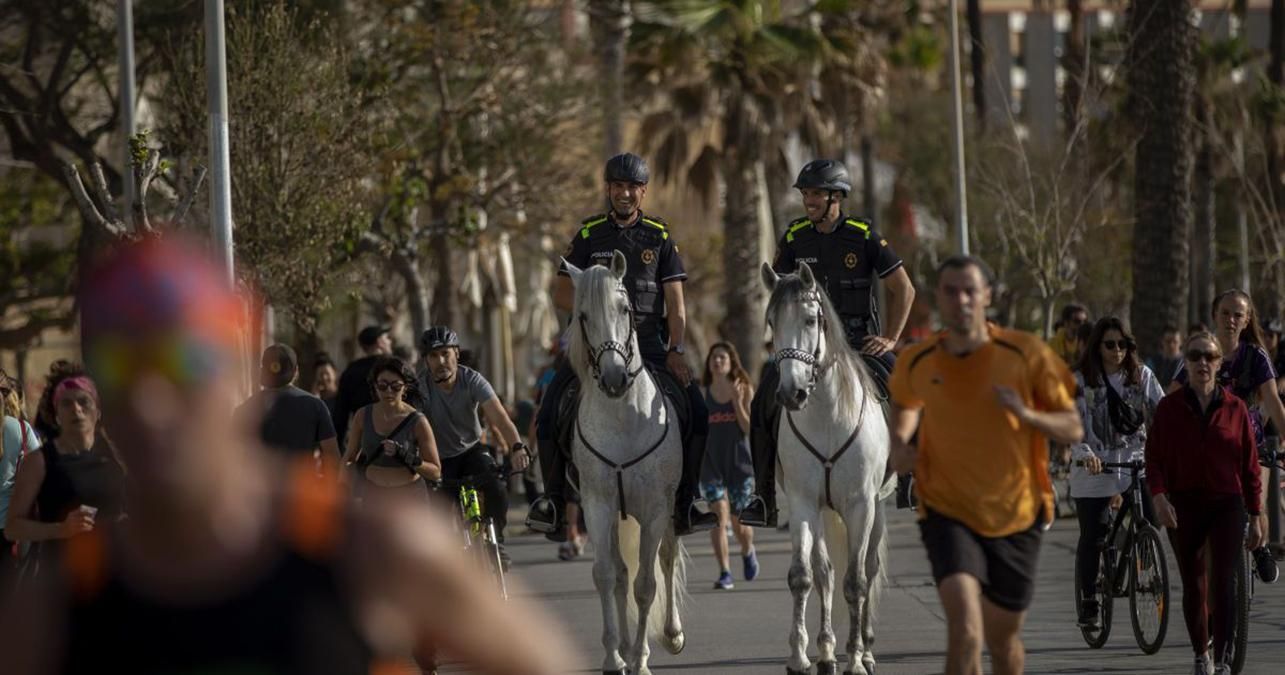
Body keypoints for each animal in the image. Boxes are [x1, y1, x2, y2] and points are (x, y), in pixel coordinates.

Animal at [565, 250, 688, 673]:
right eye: (582, 316)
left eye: (624, 309)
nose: (615, 378)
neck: (622, 418)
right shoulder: (598, 506)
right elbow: (606, 576)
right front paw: (614, 656)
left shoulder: (654, 510)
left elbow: (646, 585)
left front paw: (639, 660)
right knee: (620, 574)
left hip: (669, 510)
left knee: (665, 560)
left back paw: (670, 636)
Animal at [760, 259, 894, 673]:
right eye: (771, 321)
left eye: (809, 320)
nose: (791, 393)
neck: (827, 415)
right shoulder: (804, 502)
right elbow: (804, 577)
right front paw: (801, 655)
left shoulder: (861, 505)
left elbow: (857, 582)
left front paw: (856, 658)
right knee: (825, 573)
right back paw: (826, 651)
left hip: (877, 507)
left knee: (868, 569)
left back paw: (866, 649)